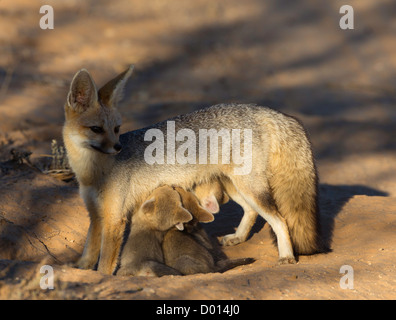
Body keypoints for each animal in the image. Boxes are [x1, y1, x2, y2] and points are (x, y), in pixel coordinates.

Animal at [62, 65, 322, 276]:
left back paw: (286, 256)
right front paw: (79, 270)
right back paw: (238, 237)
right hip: (236, 188)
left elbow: (105, 263)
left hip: (250, 188)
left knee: (280, 220)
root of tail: (262, 110)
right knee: (251, 211)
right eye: (96, 129)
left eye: (116, 129)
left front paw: (102, 279)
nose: (118, 148)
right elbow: (88, 252)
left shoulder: (114, 219)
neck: (92, 174)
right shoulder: (95, 215)